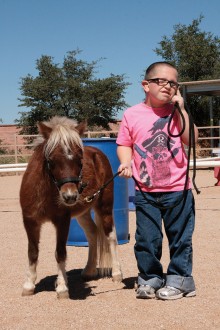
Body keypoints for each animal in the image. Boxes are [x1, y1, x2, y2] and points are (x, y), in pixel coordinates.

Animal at [20, 116, 123, 300]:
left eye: (80, 160)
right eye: (51, 160)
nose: (70, 196)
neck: (46, 192)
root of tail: (98, 153)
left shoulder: (62, 221)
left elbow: (60, 252)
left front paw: (62, 288)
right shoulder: (30, 221)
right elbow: (32, 252)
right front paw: (29, 285)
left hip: (104, 207)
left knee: (110, 235)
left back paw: (117, 274)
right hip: (82, 213)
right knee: (92, 233)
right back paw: (89, 271)